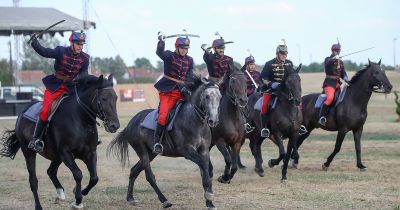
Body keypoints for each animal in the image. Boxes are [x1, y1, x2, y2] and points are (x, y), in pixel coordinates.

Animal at [0, 75, 119, 210]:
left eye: (115, 98)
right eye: (103, 98)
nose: (114, 126)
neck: (80, 119)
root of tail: (22, 114)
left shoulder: (90, 153)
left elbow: (94, 178)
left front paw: (80, 192)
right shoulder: (65, 153)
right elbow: (78, 174)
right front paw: (78, 200)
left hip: (56, 157)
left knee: (51, 171)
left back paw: (60, 194)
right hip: (29, 152)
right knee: (33, 180)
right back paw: (38, 205)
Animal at [107, 76, 222, 210]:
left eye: (220, 97)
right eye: (207, 96)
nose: (213, 121)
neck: (195, 120)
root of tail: (130, 124)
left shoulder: (203, 150)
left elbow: (206, 171)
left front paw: (209, 202)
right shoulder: (187, 151)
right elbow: (204, 166)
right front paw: (209, 195)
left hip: (151, 153)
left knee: (134, 170)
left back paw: (130, 198)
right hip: (142, 151)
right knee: (149, 176)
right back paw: (164, 200)